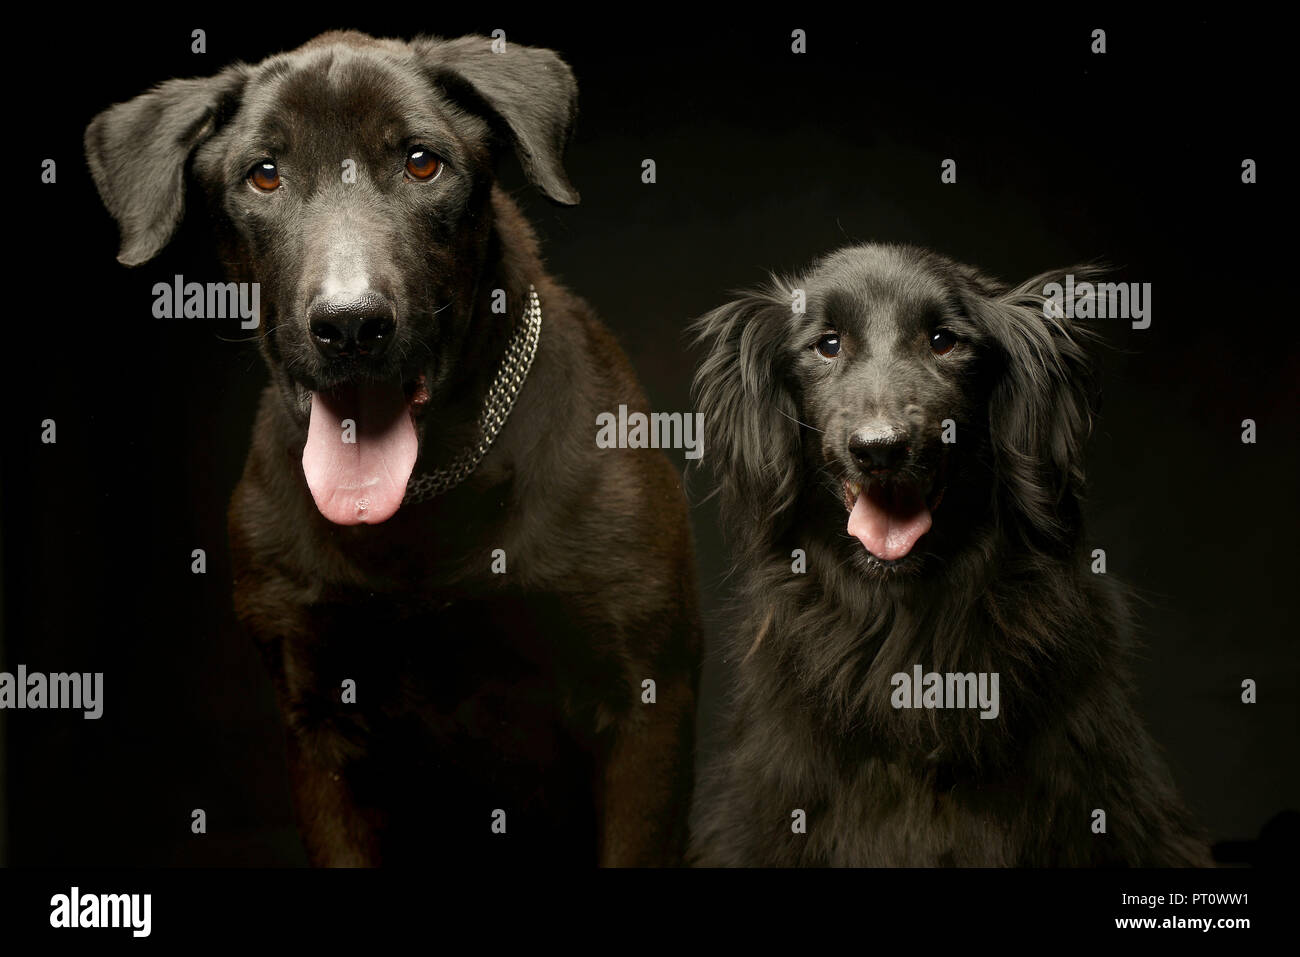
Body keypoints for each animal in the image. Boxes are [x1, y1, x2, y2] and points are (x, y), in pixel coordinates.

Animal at [87, 29, 702, 868]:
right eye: (264, 174)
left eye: (421, 162)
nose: (350, 323)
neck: (423, 512)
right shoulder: (322, 726)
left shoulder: (644, 701)